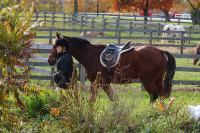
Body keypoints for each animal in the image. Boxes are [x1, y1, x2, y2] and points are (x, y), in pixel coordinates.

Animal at [48, 33, 177, 102]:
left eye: (54, 45)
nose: (50, 60)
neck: (91, 55)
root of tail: (160, 51)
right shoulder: (95, 83)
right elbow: (92, 99)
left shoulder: (104, 83)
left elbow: (112, 98)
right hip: (157, 80)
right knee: (162, 96)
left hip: (147, 81)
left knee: (154, 96)